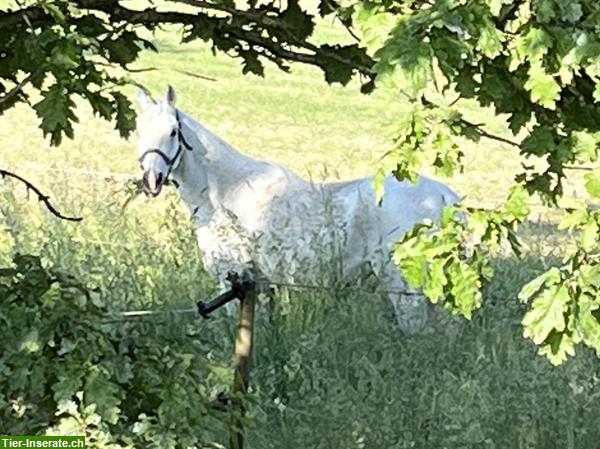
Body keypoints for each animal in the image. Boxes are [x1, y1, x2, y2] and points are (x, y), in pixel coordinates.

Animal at [134, 85, 458, 332]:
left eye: (173, 131)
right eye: (139, 131)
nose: (152, 179)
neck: (225, 193)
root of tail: (442, 196)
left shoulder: (231, 277)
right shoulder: (261, 284)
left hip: (403, 286)